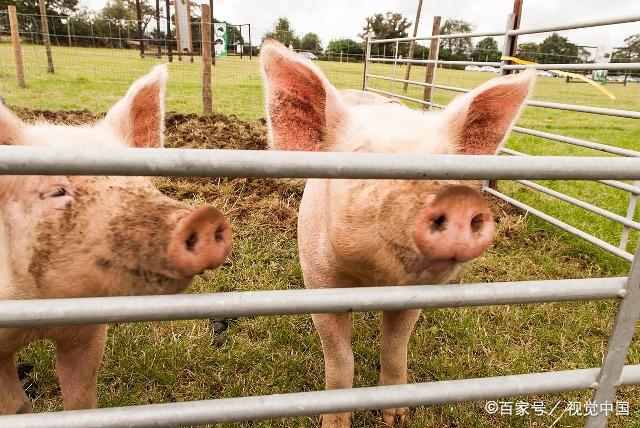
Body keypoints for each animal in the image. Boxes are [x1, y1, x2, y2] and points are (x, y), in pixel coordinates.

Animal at [0, 67, 234, 414]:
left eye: (142, 181)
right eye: (56, 191)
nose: (204, 217)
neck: (40, 311)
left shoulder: (88, 334)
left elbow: (81, 399)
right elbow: (16, 406)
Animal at [260, 41, 536, 428]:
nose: (456, 204)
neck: (370, 280)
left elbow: (394, 346)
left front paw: (396, 417)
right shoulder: (317, 278)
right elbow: (340, 359)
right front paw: (336, 423)